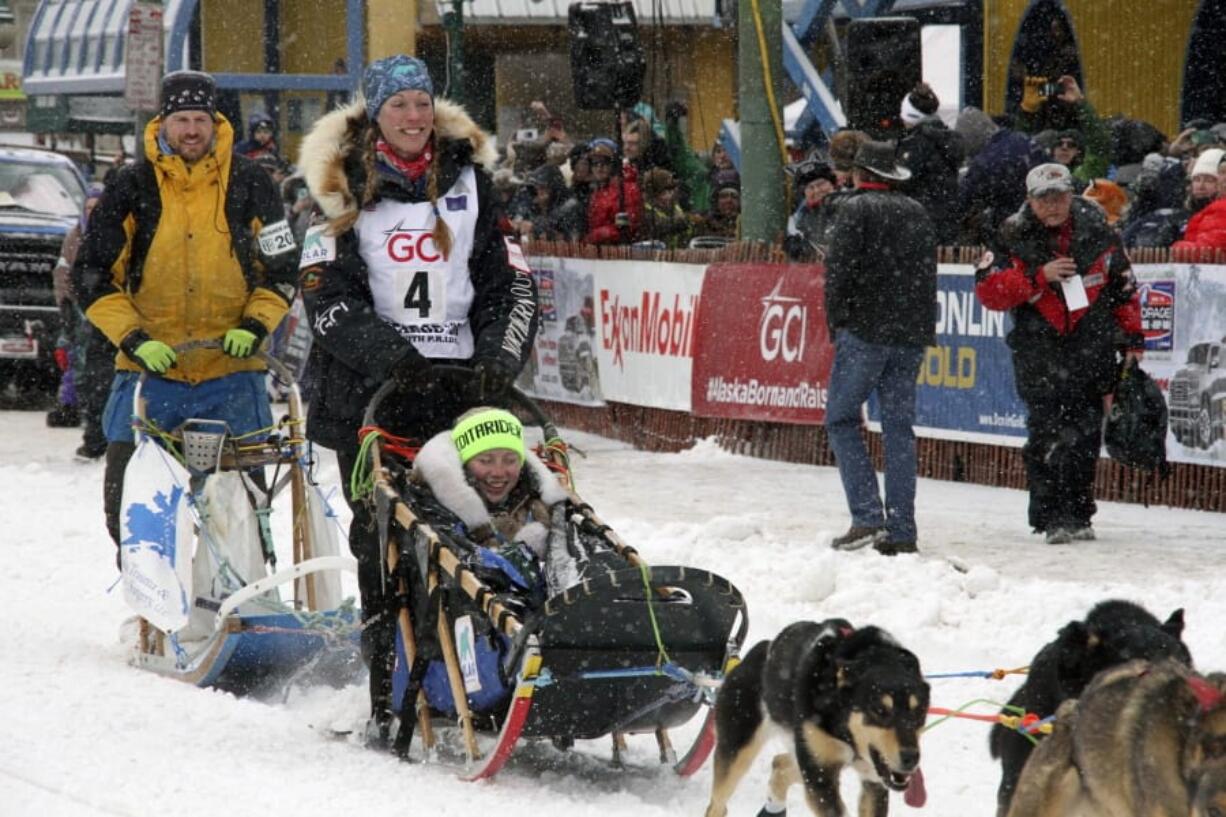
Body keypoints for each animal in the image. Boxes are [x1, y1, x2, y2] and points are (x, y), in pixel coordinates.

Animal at [701, 618, 926, 814]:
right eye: (879, 710)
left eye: (919, 712)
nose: (911, 757)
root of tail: (757, 653)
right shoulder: (820, 776)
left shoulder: (873, 781)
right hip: (737, 753)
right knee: (716, 805)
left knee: (779, 764)